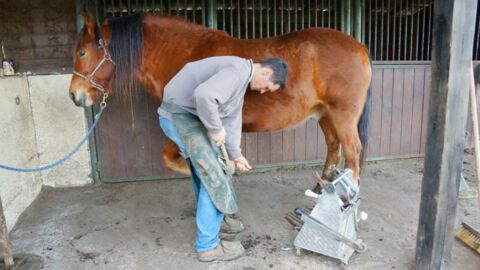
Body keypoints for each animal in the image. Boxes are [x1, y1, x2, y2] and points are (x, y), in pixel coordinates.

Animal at [69, 12, 374, 186]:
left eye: (82, 53)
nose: (75, 95)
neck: (186, 57)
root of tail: (359, 47)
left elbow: (171, 157)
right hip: (324, 115)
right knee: (333, 148)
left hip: (343, 116)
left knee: (353, 153)